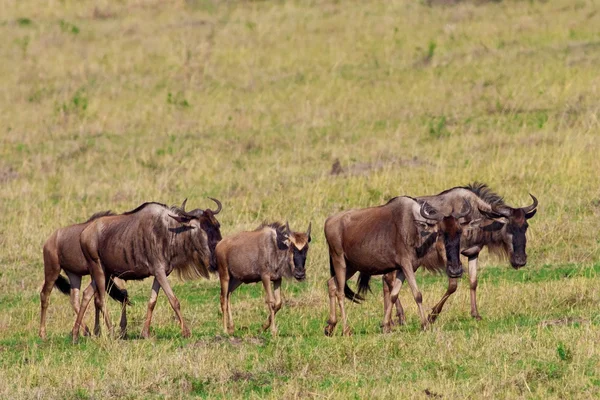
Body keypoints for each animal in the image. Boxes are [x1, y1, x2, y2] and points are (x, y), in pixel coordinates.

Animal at [39, 211, 130, 340]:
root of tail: (48, 241)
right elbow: (98, 299)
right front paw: (98, 331)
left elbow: (100, 299)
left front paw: (98, 331)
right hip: (52, 270)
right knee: (45, 295)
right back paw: (42, 333)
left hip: (74, 274)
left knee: (74, 299)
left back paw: (85, 331)